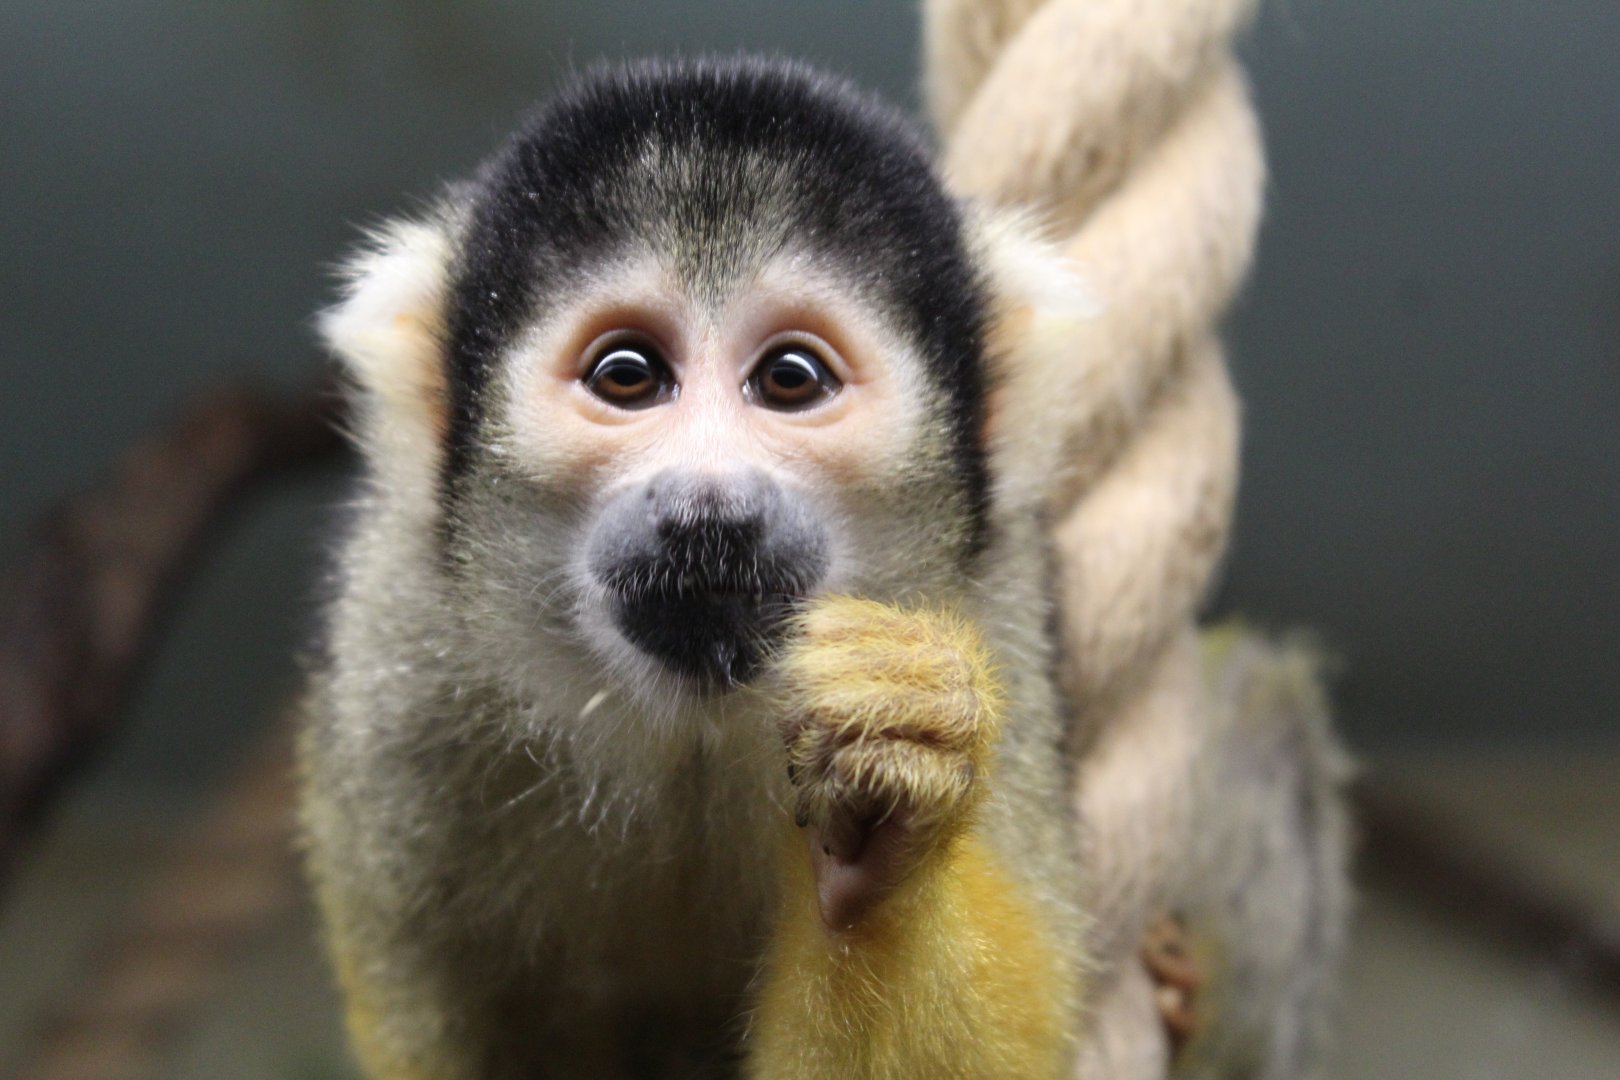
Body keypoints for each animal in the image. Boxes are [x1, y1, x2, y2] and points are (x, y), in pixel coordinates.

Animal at [299, 55, 1346, 1079]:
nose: (710, 511)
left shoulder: (990, 609)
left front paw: (889, 838)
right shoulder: (398, 650)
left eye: (790, 379)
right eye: (626, 376)